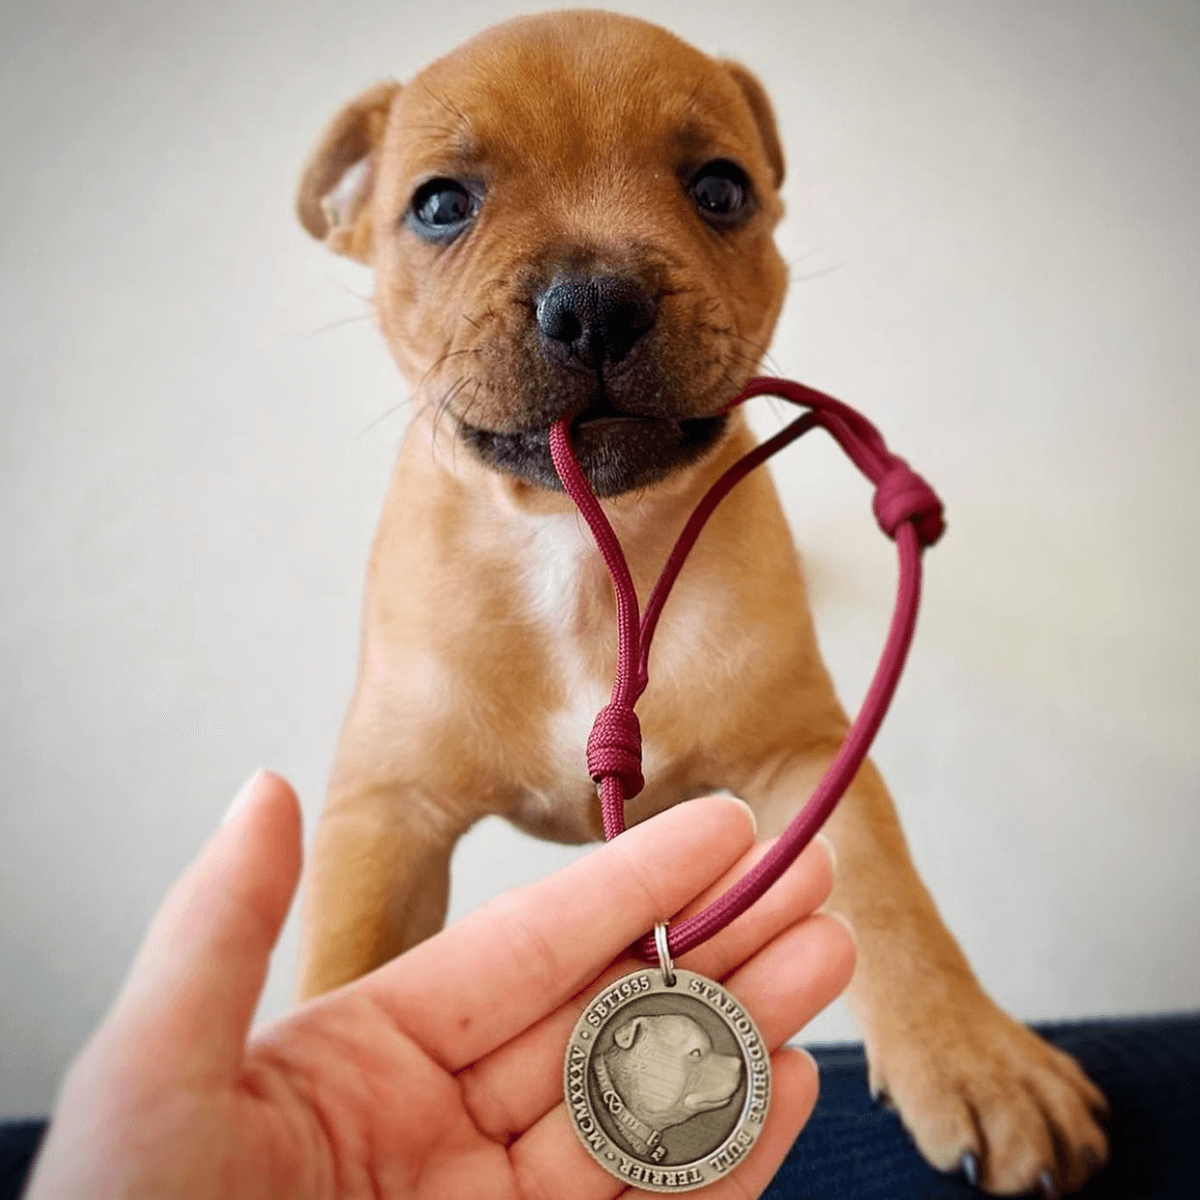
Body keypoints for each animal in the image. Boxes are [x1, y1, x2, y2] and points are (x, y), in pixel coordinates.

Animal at [297, 11, 1104, 1200]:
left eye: (721, 189)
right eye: (440, 204)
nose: (595, 301)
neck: (588, 557)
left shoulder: (808, 759)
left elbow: (888, 894)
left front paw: (975, 1053)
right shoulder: (385, 817)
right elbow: (342, 969)